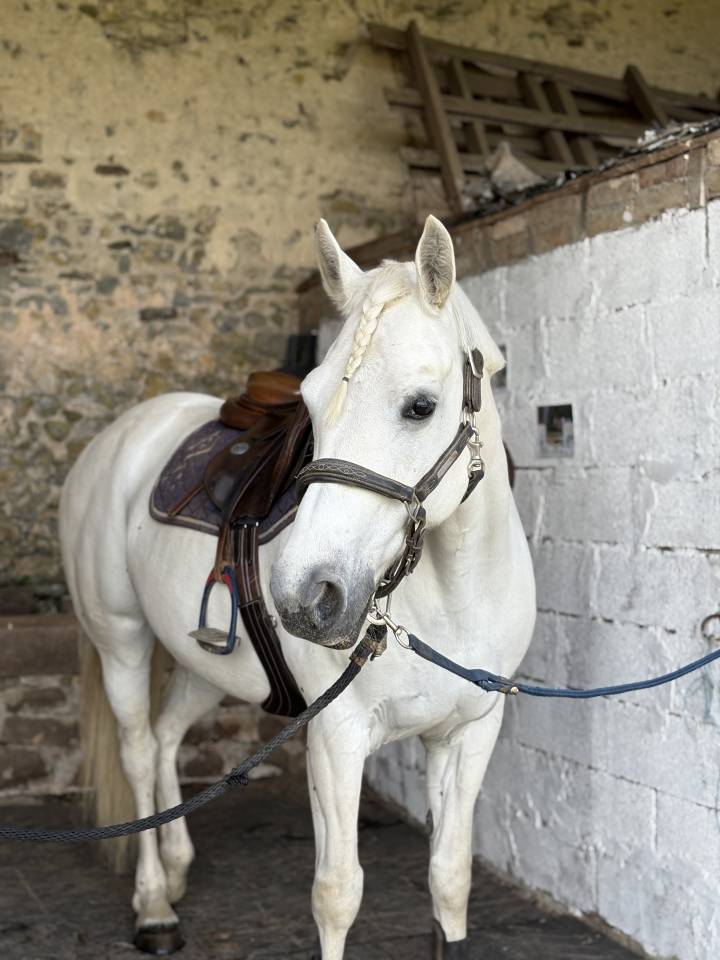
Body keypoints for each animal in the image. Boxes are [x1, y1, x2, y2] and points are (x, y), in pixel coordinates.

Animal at [59, 214, 536, 959]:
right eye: (308, 403)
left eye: (420, 406)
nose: (304, 596)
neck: (452, 595)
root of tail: (115, 440)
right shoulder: (336, 738)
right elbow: (337, 894)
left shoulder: (469, 733)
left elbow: (450, 878)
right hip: (123, 644)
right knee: (138, 752)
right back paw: (154, 906)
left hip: (203, 664)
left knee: (165, 739)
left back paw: (176, 867)